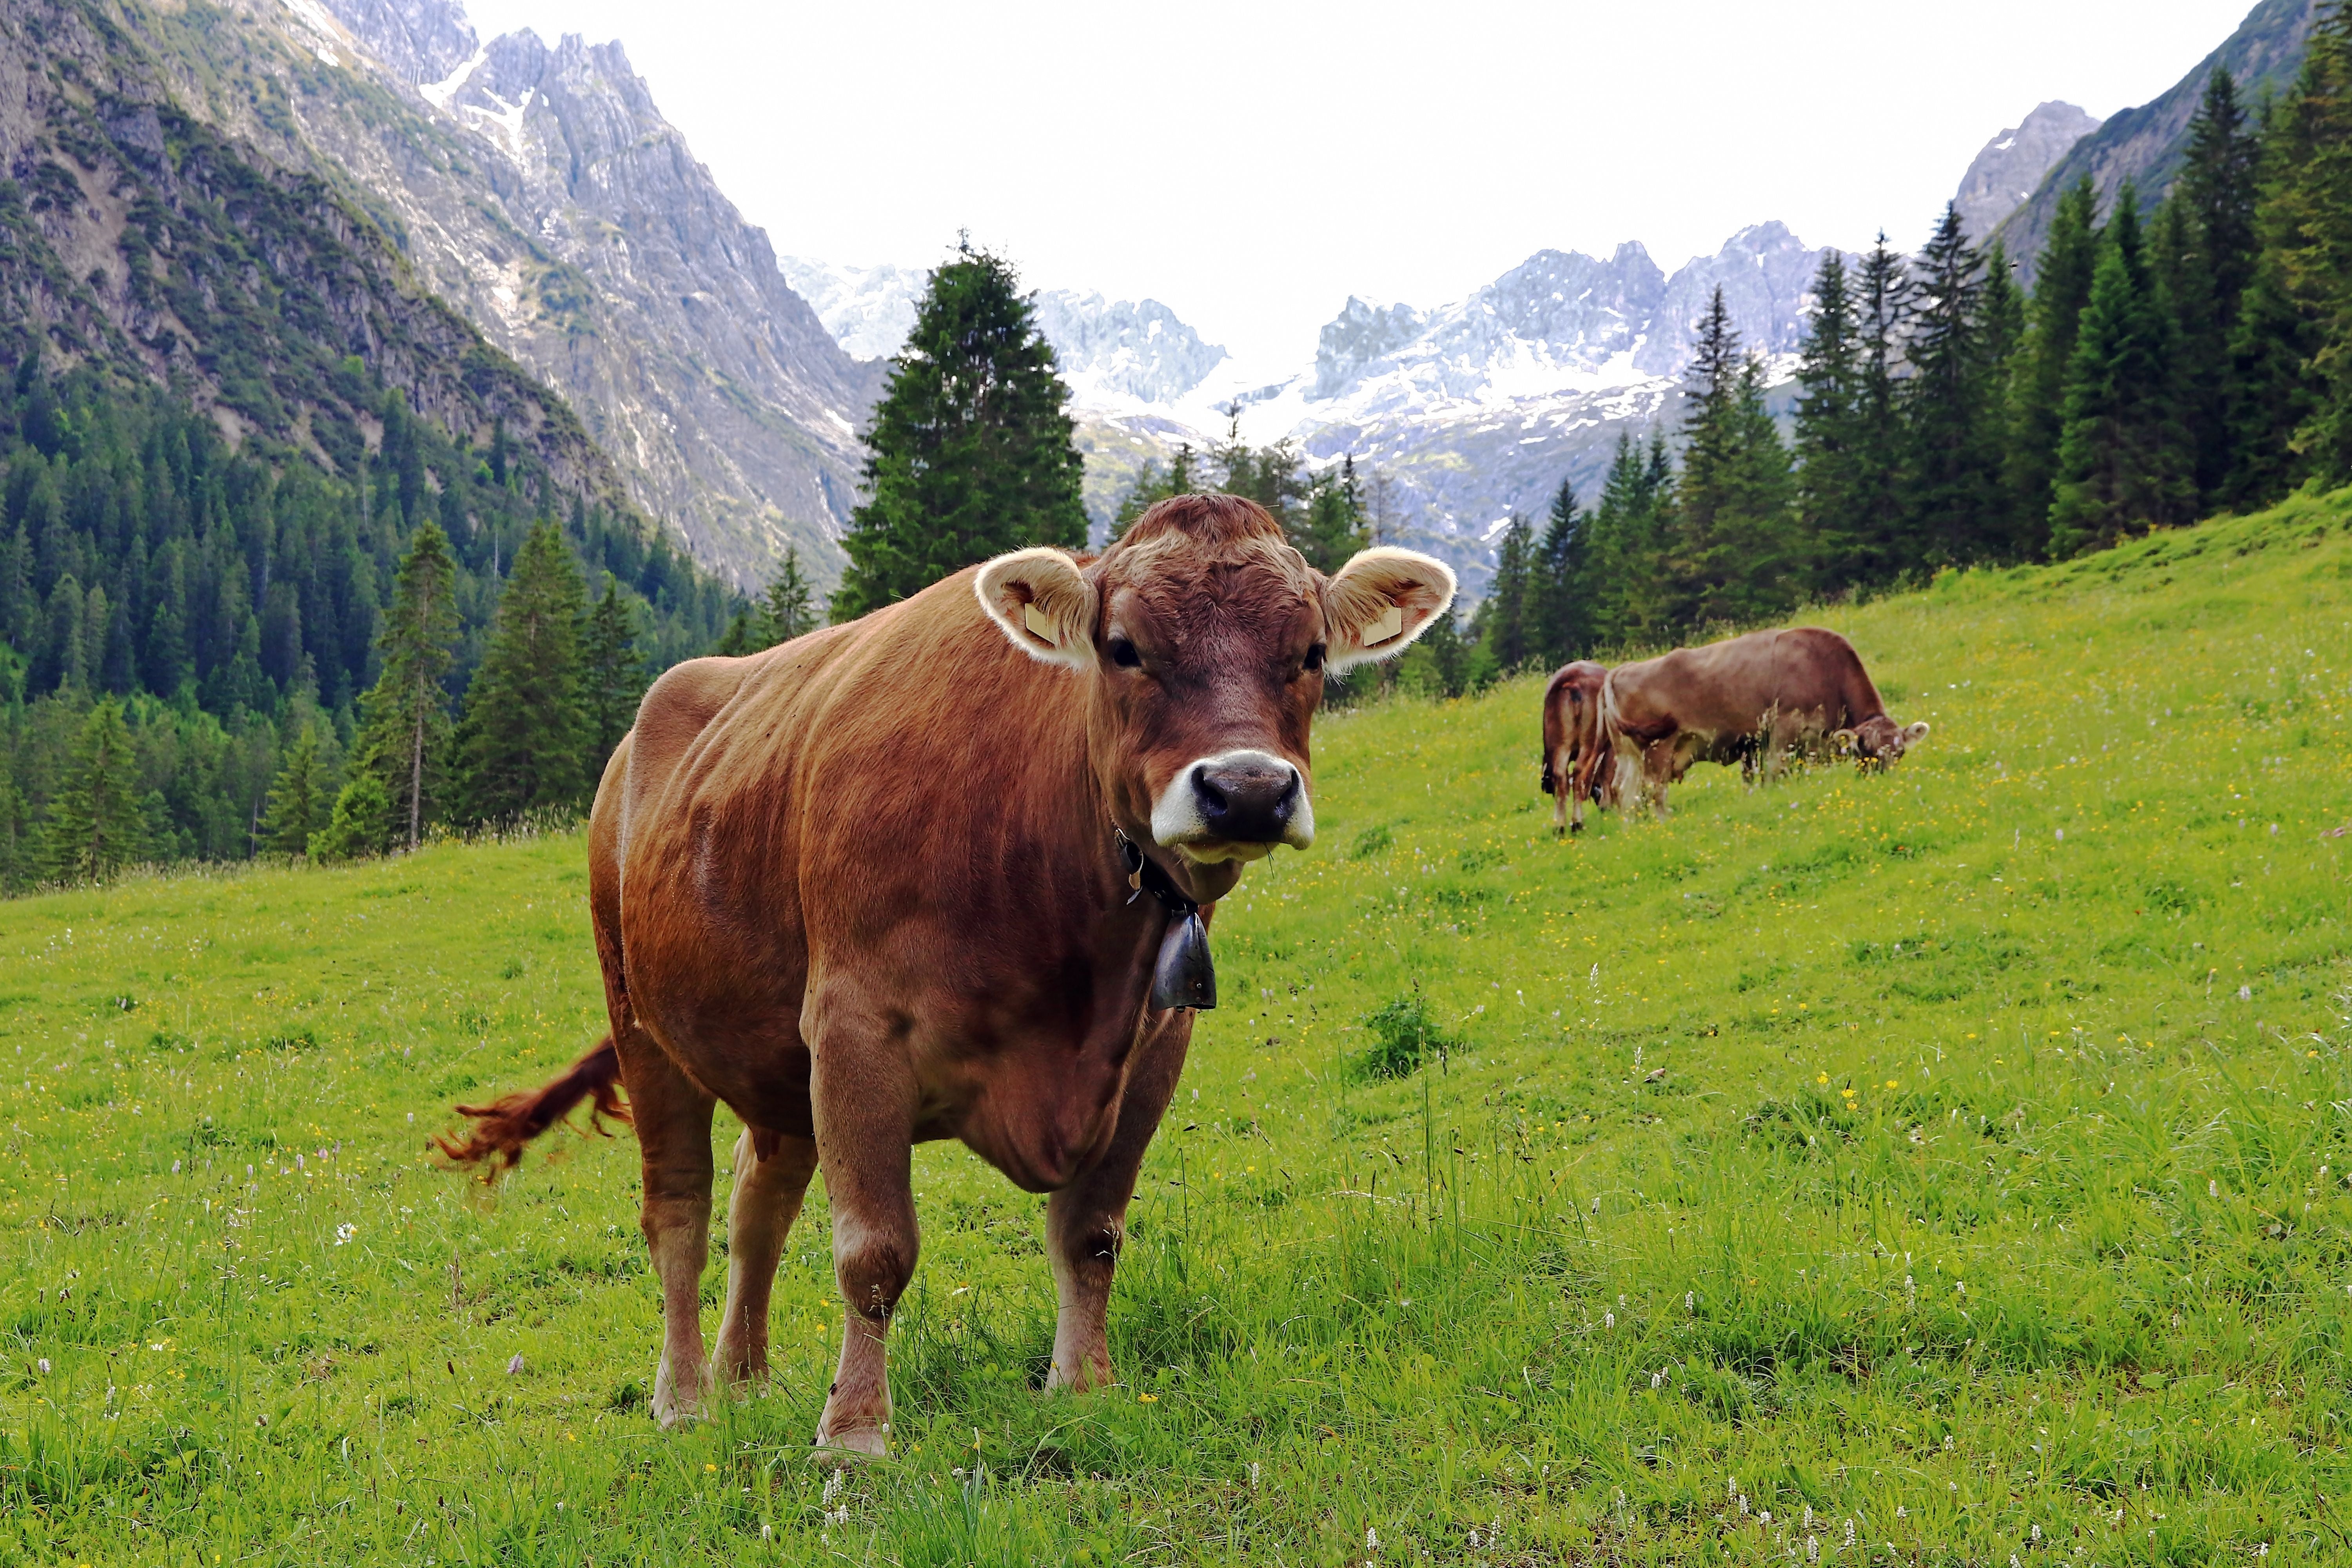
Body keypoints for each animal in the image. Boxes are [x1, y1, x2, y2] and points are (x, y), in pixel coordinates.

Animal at [436, 495, 1456, 1452]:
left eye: (1311, 651)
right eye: (1124, 647)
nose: (1247, 789)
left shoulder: (1156, 1042)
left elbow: (1091, 1232)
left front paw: (1083, 1386)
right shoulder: (855, 1029)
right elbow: (875, 1251)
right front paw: (855, 1435)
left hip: (774, 1062)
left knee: (759, 1200)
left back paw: (746, 1380)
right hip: (645, 1023)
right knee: (679, 1210)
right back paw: (683, 1398)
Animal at [1538, 660, 1611, 835]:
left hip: (1560, 746)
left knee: (1561, 778)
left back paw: (1559, 827)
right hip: (1589, 742)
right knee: (1578, 775)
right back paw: (1577, 823)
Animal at [1597, 626, 1927, 816]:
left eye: (1900, 753)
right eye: (1867, 752)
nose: (1885, 783)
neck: (1821, 667)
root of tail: (1622, 670)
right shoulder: (1782, 732)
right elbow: (1775, 773)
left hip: (1631, 756)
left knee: (1625, 791)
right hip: (1658, 749)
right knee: (1653, 789)